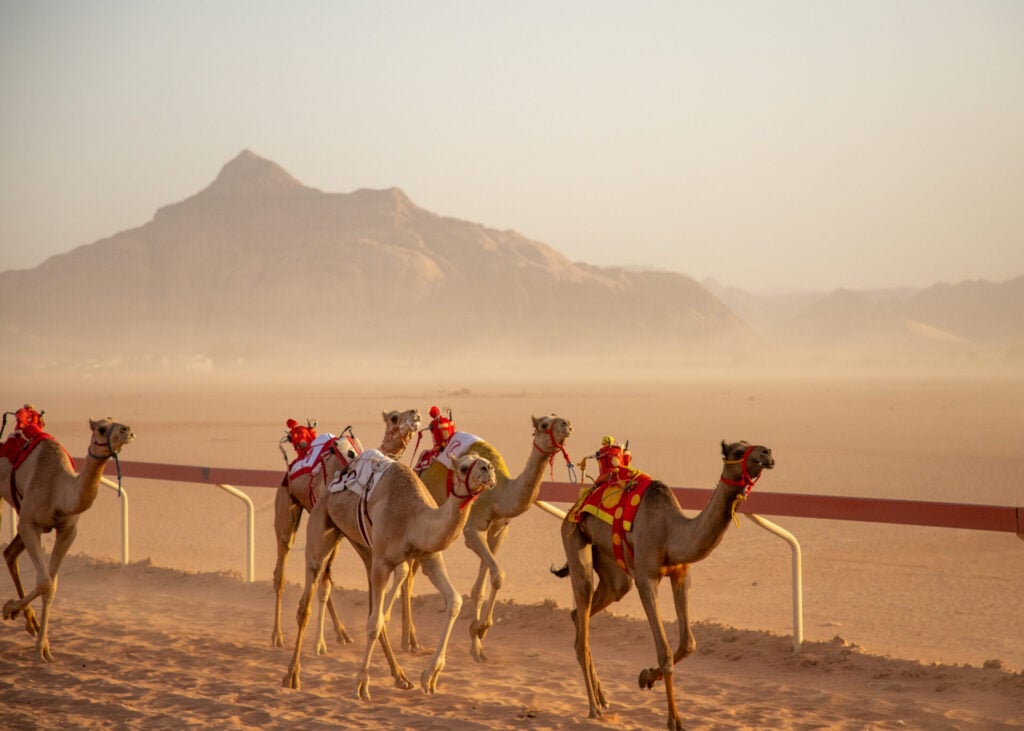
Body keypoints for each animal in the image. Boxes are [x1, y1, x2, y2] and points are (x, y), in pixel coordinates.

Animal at [1, 417, 135, 661]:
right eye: (101, 428)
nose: (127, 430)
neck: (58, 489)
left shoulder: (68, 530)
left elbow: (51, 586)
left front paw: (43, 647)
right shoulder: (28, 523)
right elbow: (43, 581)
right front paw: (9, 607)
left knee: (9, 554)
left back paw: (31, 622)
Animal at [272, 408, 420, 653]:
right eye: (394, 417)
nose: (415, 413)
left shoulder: (355, 534)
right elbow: (326, 583)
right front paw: (319, 644)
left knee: (321, 574)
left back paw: (342, 633)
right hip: (287, 505)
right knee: (282, 571)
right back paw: (277, 636)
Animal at [283, 450, 496, 698]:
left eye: (482, 460)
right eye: (463, 467)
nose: (489, 469)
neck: (414, 518)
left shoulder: (429, 557)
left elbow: (455, 601)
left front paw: (430, 676)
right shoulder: (383, 562)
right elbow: (374, 623)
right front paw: (361, 685)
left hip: (364, 546)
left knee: (375, 608)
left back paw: (401, 677)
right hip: (322, 524)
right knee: (307, 600)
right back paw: (292, 675)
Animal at [409, 413, 574, 660]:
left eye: (557, 417)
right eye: (544, 424)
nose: (567, 424)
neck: (499, 495)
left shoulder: (498, 531)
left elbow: (486, 584)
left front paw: (477, 643)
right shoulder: (472, 530)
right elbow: (498, 574)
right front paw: (481, 628)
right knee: (406, 577)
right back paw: (409, 640)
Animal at [558, 439, 774, 731]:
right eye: (738, 452)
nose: (767, 453)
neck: (671, 532)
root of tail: (579, 502)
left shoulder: (682, 574)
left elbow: (688, 643)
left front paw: (646, 677)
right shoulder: (646, 578)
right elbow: (665, 651)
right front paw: (674, 719)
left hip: (611, 567)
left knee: (584, 613)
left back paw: (603, 699)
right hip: (573, 536)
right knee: (582, 619)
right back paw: (594, 708)